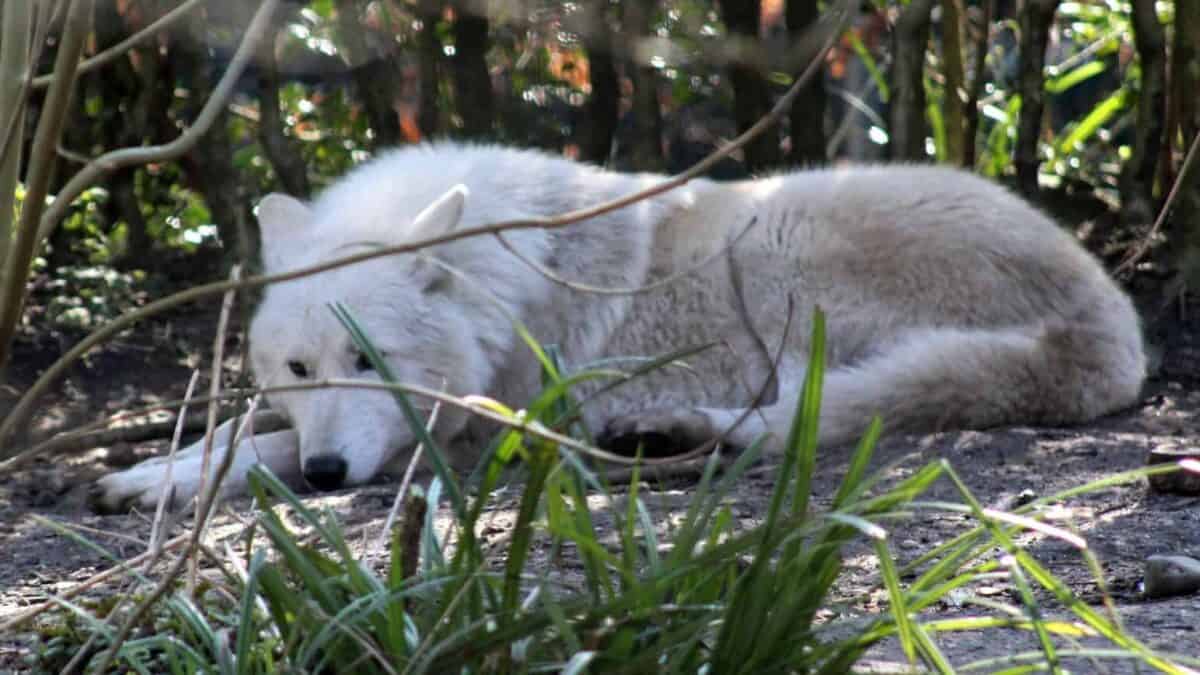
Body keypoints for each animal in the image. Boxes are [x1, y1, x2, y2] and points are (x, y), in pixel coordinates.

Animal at [92, 143, 1146, 511]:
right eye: (302, 365)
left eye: (371, 358)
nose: (326, 477)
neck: (502, 288)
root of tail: (1111, 315)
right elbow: (245, 424)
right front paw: (148, 470)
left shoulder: (468, 430)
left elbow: (254, 448)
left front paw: (172, 481)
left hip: (775, 245)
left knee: (799, 417)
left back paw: (664, 431)